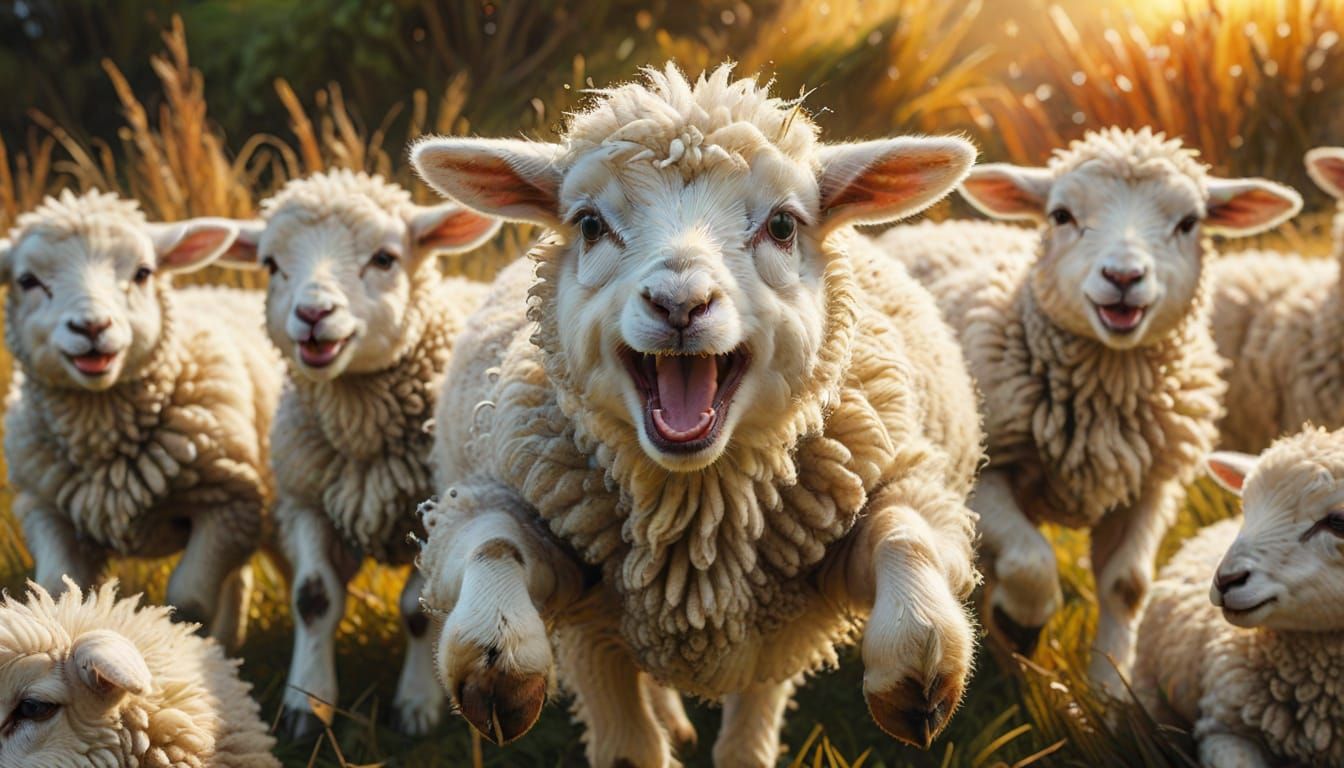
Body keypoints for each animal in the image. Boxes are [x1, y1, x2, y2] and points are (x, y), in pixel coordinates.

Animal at [2, 189, 281, 651]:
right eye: (27, 281)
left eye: (143, 272)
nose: (91, 327)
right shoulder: (45, 509)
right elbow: (59, 588)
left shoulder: (226, 506)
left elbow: (189, 601)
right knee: (238, 579)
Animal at [218, 169, 501, 739]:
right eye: (271, 264)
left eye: (385, 258)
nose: (313, 314)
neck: (361, 434)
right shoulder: (304, 500)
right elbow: (313, 597)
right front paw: (307, 705)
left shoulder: (434, 513)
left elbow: (419, 610)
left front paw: (417, 704)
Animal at [410, 63, 985, 767]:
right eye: (590, 225)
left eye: (783, 226)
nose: (679, 302)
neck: (697, 518)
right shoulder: (538, 543)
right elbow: (492, 542)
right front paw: (496, 654)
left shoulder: (832, 556)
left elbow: (905, 532)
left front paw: (917, 654)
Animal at [876, 127, 1302, 696]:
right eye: (1061, 215)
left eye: (1188, 222)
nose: (1123, 276)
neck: (1101, 400)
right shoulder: (982, 470)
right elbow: (1032, 558)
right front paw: (1022, 621)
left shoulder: (1150, 486)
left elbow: (1127, 585)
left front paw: (1110, 686)